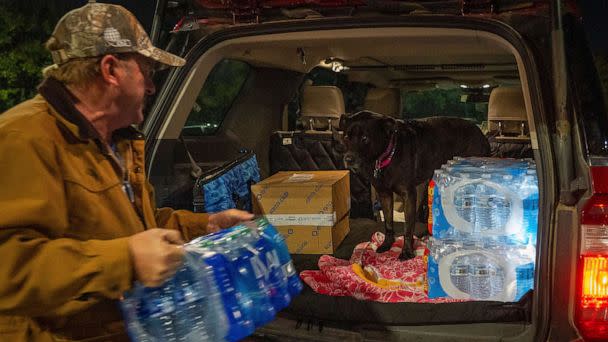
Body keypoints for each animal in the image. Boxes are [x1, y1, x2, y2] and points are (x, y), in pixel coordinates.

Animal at [340, 112, 492, 260]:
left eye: (365, 138)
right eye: (346, 136)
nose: (348, 159)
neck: (388, 154)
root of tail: (481, 134)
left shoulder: (409, 195)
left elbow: (408, 228)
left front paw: (407, 252)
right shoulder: (384, 195)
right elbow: (388, 223)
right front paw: (387, 244)